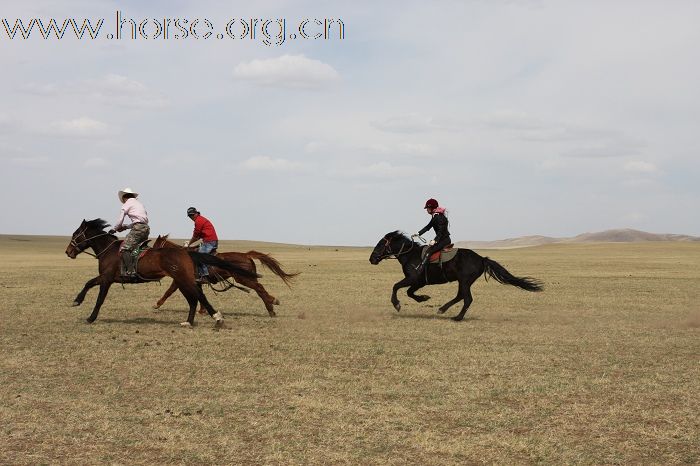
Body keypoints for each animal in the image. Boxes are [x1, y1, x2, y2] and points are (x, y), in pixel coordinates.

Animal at [66, 219, 260, 326]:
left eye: (76, 234)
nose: (68, 252)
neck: (110, 251)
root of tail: (186, 252)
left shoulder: (106, 279)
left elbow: (99, 298)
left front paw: (90, 317)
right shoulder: (106, 278)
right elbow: (88, 283)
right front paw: (77, 301)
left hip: (184, 280)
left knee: (199, 296)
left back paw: (216, 318)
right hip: (181, 281)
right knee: (193, 300)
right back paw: (189, 321)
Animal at [152, 237, 296, 316]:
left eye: (155, 246)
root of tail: (246, 255)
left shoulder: (179, 280)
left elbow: (169, 291)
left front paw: (157, 304)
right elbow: (200, 294)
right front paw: (203, 310)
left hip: (243, 278)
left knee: (259, 288)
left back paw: (272, 304)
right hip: (249, 278)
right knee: (259, 289)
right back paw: (271, 307)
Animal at [370, 230, 544, 320]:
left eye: (380, 244)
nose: (371, 259)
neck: (410, 255)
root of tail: (481, 259)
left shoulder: (413, 279)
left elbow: (397, 287)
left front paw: (397, 304)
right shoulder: (419, 282)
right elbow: (409, 292)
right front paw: (423, 298)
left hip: (465, 281)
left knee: (467, 298)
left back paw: (457, 317)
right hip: (463, 281)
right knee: (461, 296)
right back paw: (443, 309)